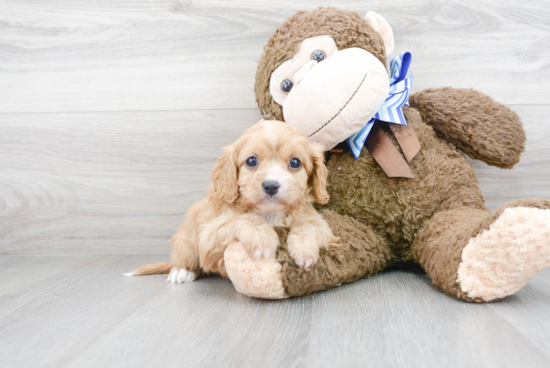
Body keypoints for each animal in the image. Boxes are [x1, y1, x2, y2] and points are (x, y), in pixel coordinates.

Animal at [127, 119, 338, 284]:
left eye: (295, 162)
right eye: (251, 161)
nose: (271, 186)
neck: (269, 213)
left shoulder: (317, 222)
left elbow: (307, 226)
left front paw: (304, 250)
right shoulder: (209, 233)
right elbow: (243, 219)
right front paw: (262, 239)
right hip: (186, 243)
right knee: (185, 259)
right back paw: (181, 271)